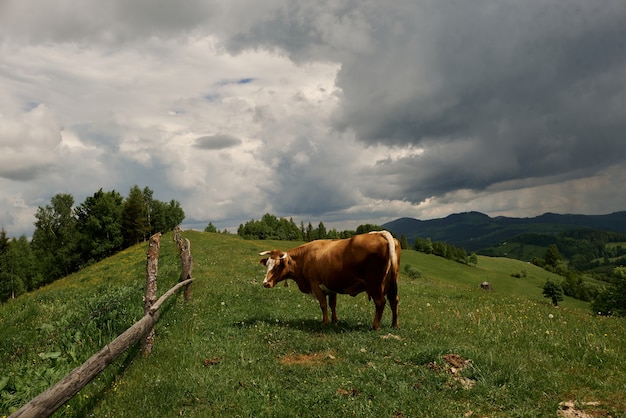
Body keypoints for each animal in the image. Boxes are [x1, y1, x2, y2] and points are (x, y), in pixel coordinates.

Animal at [258, 229, 400, 330]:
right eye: (267, 264)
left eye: (277, 265)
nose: (266, 283)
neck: (304, 258)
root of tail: (380, 233)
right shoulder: (332, 286)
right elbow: (333, 304)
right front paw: (335, 320)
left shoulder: (315, 285)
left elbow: (323, 305)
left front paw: (325, 322)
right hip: (392, 282)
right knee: (394, 300)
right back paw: (394, 325)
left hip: (375, 285)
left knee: (380, 302)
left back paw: (375, 326)